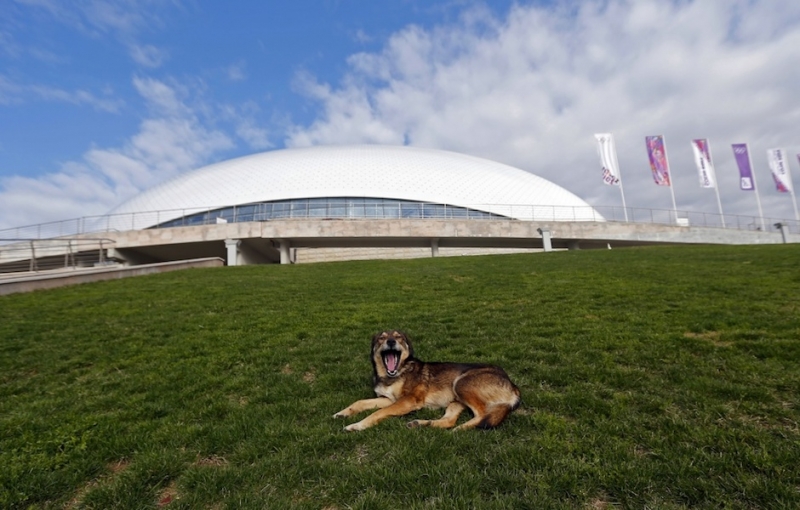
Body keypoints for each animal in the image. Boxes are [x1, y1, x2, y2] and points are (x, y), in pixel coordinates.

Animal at [334, 330, 521, 431]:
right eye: (381, 338)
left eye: (399, 337)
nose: (391, 341)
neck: (394, 374)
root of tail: (513, 385)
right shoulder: (388, 399)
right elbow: (360, 402)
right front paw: (342, 413)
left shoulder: (409, 401)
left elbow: (377, 413)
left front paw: (357, 425)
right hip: (456, 401)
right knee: (448, 421)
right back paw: (419, 424)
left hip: (461, 383)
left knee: (482, 416)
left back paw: (461, 429)